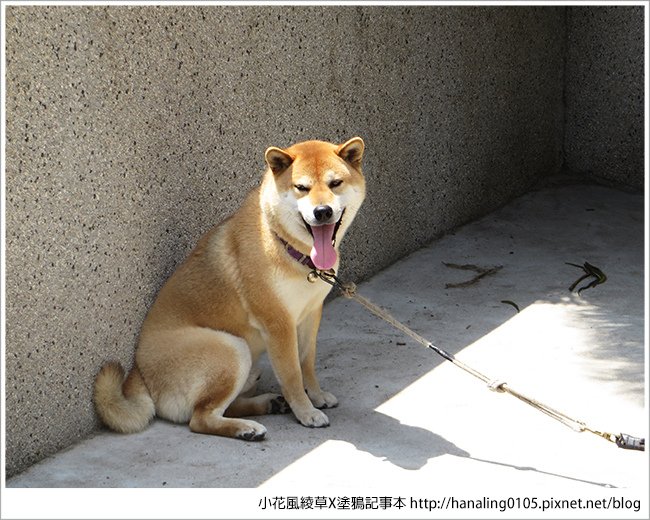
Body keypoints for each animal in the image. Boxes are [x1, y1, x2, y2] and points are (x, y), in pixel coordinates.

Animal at [93, 137, 364, 438]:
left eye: (335, 183)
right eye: (301, 188)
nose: (322, 211)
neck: (286, 246)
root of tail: (138, 372)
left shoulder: (310, 314)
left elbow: (307, 363)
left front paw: (316, 396)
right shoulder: (278, 325)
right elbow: (292, 374)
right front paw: (306, 412)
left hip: (246, 364)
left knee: (224, 406)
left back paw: (266, 405)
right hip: (232, 348)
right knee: (200, 418)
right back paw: (245, 428)